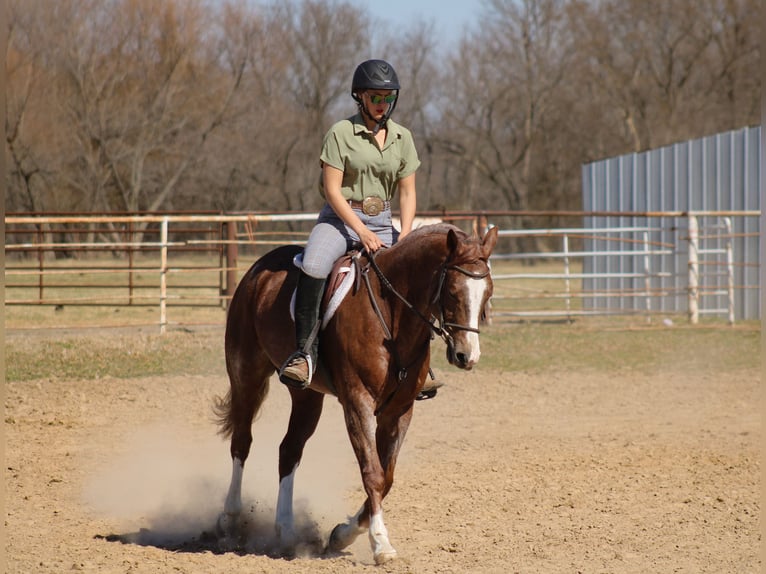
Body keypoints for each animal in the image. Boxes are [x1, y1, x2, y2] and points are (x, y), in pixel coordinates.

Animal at [214, 222, 499, 564]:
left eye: (488, 293)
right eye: (453, 291)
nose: (466, 356)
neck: (392, 315)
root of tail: (259, 270)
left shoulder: (399, 411)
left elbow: (386, 476)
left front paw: (342, 534)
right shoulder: (357, 403)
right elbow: (372, 472)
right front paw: (380, 543)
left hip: (308, 396)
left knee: (289, 450)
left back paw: (285, 530)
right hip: (247, 375)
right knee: (241, 442)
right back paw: (229, 521)